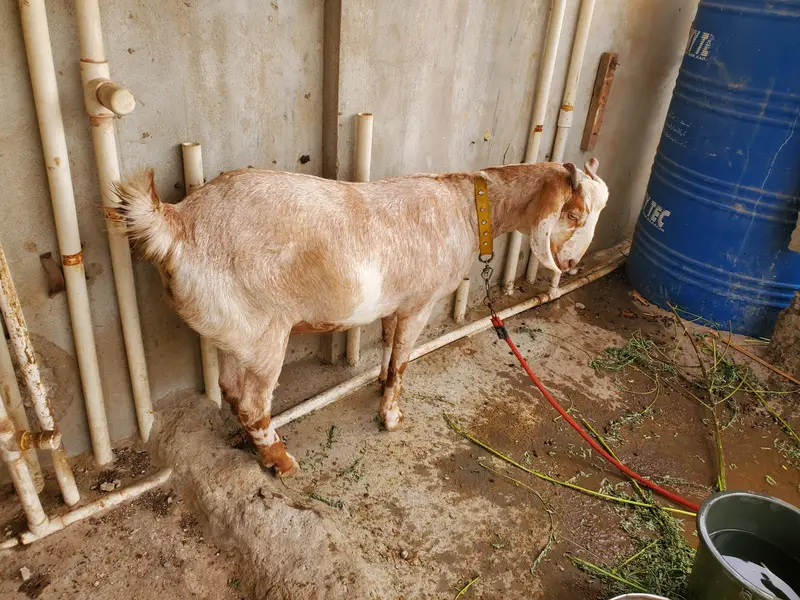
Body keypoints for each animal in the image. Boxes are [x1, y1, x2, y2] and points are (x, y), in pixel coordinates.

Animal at [111, 159, 608, 477]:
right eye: (574, 213)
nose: (572, 265)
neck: (468, 209)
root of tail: (177, 223)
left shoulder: (394, 304)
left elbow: (388, 346)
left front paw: (379, 384)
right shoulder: (420, 302)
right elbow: (404, 359)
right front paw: (391, 416)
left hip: (240, 332)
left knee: (232, 391)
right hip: (264, 329)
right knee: (252, 401)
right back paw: (282, 462)